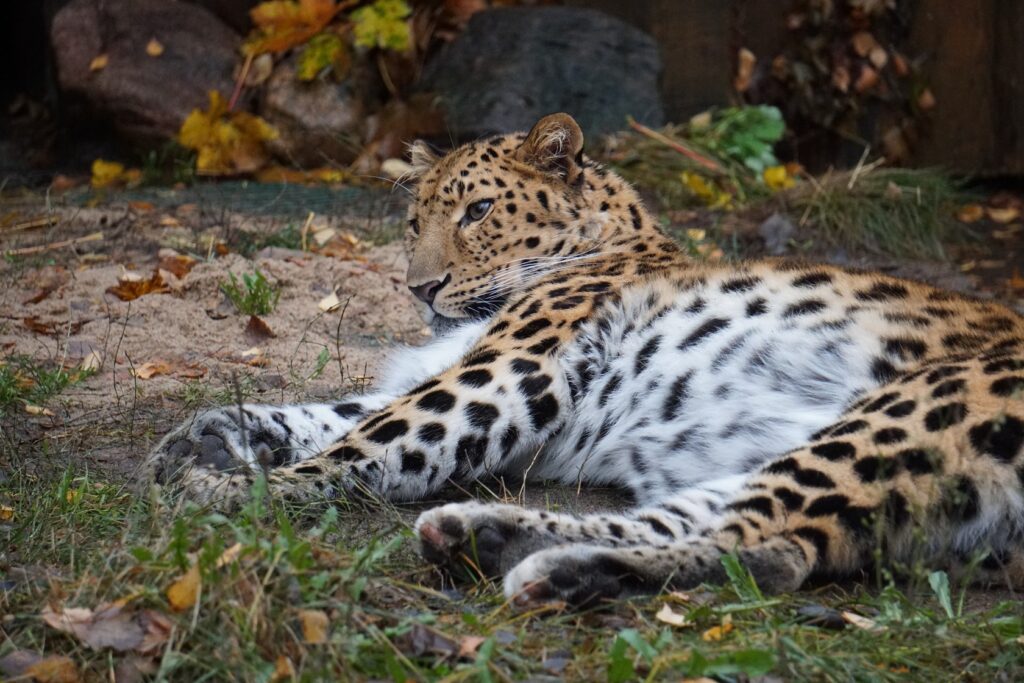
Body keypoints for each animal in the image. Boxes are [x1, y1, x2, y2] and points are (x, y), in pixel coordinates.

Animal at [151, 112, 1024, 608]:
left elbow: (372, 436)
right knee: (747, 533)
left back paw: (545, 566)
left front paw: (230, 492)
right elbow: (340, 411)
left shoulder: (508, 369)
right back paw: (490, 537)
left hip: (905, 411)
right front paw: (208, 434)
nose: (419, 286)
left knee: (767, 544)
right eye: (411, 222)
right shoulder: (467, 365)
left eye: (479, 211)